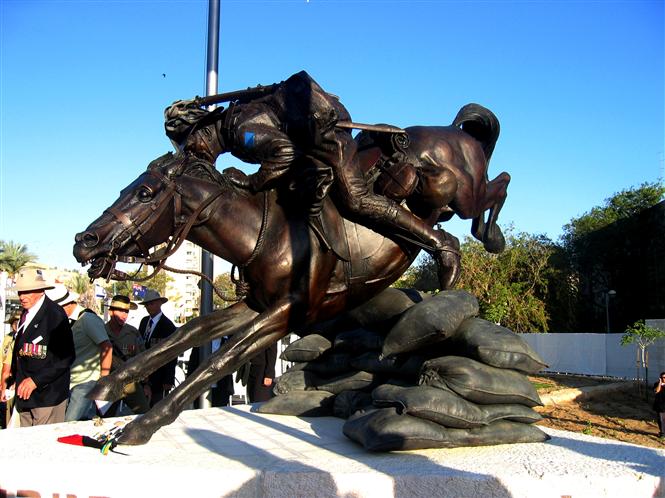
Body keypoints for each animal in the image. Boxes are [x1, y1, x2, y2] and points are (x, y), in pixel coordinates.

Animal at [74, 110, 508, 444]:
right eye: (125, 189)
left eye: (145, 194)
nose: (85, 242)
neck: (265, 233)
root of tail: (450, 129)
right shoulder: (257, 305)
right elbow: (188, 334)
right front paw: (108, 386)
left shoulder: (287, 312)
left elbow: (219, 360)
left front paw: (141, 425)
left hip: (461, 192)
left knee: (497, 185)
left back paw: (478, 243)